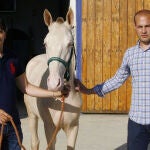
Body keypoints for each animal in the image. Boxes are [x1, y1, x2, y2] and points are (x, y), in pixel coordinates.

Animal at [24, 8, 82, 150]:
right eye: (45, 43)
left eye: (70, 44)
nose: (54, 83)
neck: (63, 99)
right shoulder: (50, 128)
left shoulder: (73, 128)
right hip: (32, 115)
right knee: (35, 142)